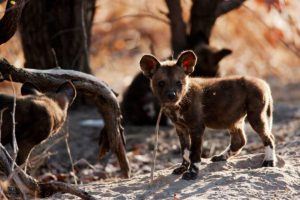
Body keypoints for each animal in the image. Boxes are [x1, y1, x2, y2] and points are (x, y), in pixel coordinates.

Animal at [141, 49, 276, 180]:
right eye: (161, 83)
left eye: (179, 83)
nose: (171, 95)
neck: (178, 105)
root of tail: (263, 82)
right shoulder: (180, 128)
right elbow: (185, 152)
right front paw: (183, 168)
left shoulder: (196, 128)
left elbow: (194, 154)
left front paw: (192, 173)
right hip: (232, 119)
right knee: (239, 141)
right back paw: (221, 157)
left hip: (255, 117)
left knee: (269, 137)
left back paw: (269, 162)